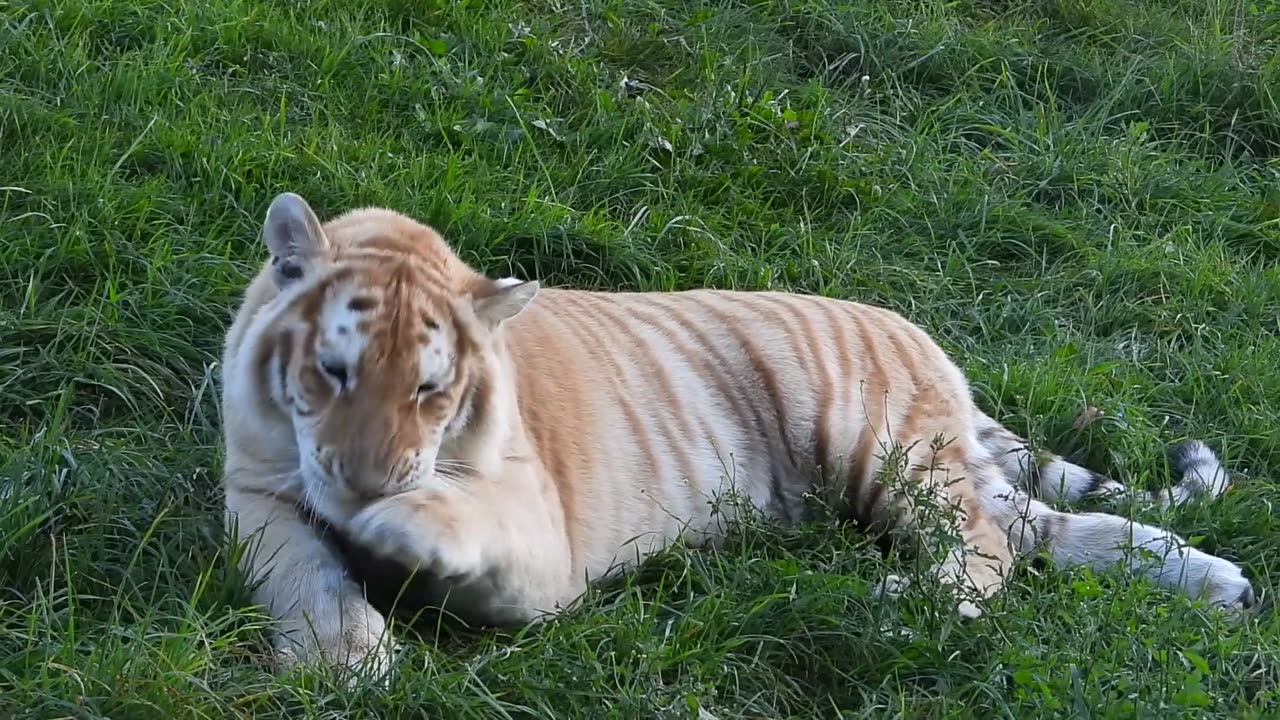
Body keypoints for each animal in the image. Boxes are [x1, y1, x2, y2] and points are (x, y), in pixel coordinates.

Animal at [217, 190, 1249, 671]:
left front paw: (392, 529)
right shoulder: (255, 486)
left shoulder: (539, 543)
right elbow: (296, 565)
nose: (364, 485)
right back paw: (1219, 583)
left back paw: (890, 605)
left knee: (990, 548)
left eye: (433, 390)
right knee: (1042, 527)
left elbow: (461, 520)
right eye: (334, 372)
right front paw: (348, 658)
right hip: (937, 467)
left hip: (889, 450)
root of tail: (928, 342)